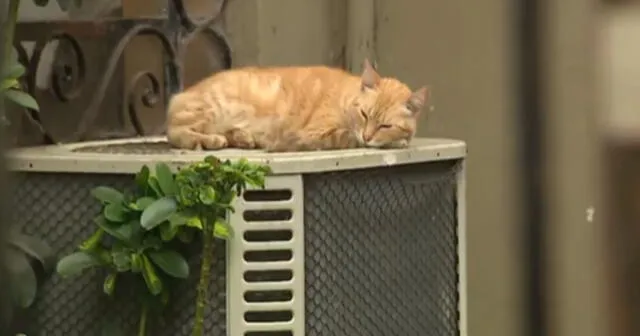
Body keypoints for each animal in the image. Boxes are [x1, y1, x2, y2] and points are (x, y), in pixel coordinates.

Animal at [165, 59, 430, 152]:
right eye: (364, 114)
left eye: (385, 125)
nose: (367, 136)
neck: (346, 100)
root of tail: (182, 93)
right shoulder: (314, 134)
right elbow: (346, 137)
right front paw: (397, 141)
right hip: (211, 109)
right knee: (177, 134)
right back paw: (210, 140)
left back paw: (242, 137)